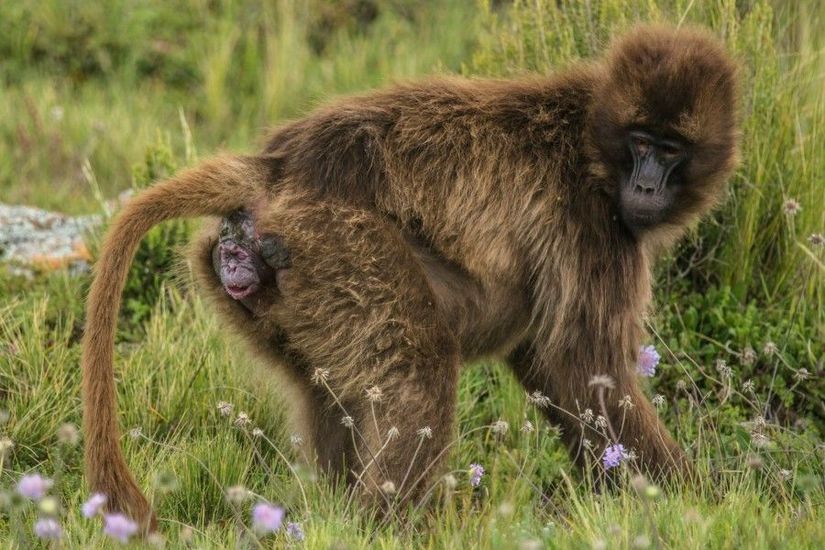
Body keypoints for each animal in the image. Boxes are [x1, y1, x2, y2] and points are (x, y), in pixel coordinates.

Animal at [82, 23, 740, 532]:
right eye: (642, 142)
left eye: (671, 149)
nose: (647, 187)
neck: (593, 140)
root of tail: (274, 168)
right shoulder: (594, 225)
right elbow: (584, 367)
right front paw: (694, 502)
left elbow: (549, 365)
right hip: (336, 246)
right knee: (419, 363)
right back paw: (393, 527)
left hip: (263, 284)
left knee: (336, 391)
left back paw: (341, 517)